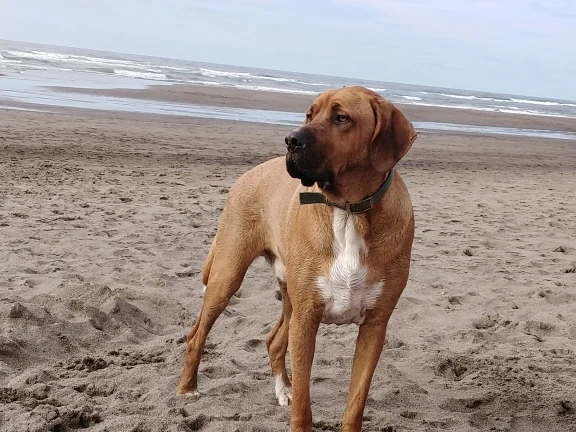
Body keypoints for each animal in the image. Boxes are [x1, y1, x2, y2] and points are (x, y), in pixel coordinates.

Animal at [177, 86, 417, 431]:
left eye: (341, 117)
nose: (291, 140)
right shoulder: (306, 319)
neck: (349, 213)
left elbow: (356, 403)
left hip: (288, 294)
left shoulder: (374, 326)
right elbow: (305, 402)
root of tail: (250, 172)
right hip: (227, 276)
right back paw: (187, 388)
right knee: (197, 334)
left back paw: (282, 389)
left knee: (273, 341)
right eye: (309, 114)